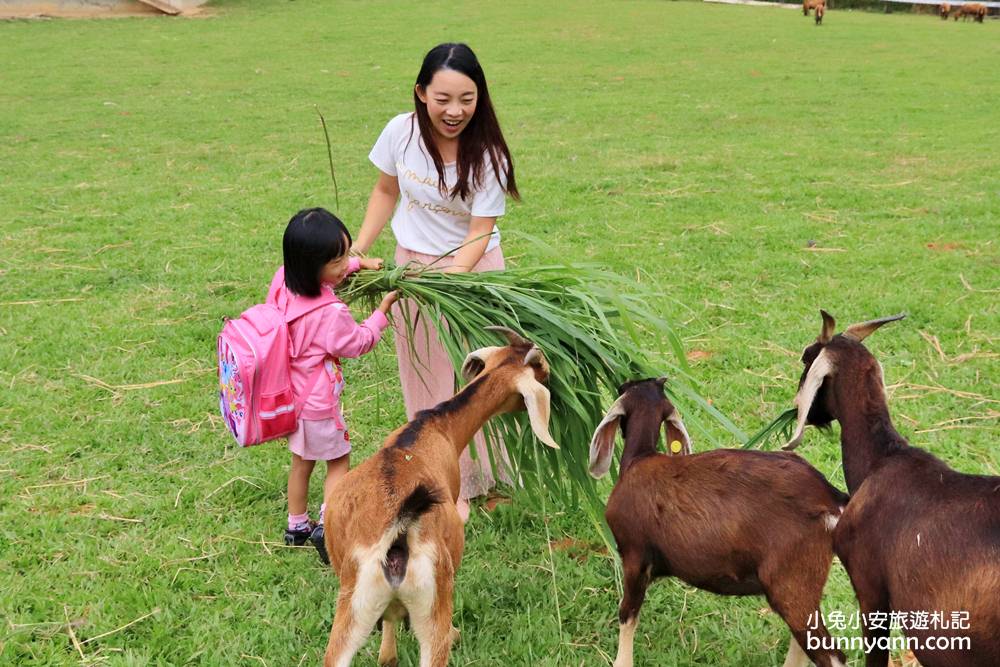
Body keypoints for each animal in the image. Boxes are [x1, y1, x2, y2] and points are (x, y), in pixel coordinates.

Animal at [322, 328, 560, 667]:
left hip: (352, 606)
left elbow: (389, 635)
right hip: (434, 603)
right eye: (542, 369)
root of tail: (398, 536)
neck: (431, 430)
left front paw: (387, 654)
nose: (556, 384)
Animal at [588, 380, 848, 667]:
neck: (640, 459)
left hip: (792, 583)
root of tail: (831, 498)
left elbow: (627, 614)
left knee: (831, 654)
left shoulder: (635, 557)